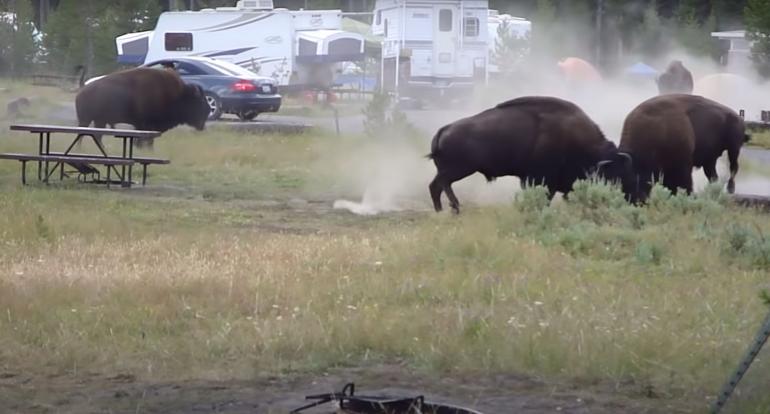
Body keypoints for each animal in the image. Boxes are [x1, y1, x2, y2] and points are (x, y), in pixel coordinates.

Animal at [74, 66, 208, 147]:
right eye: (199, 102)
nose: (208, 110)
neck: (177, 95)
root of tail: (82, 88)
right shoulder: (146, 125)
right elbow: (146, 142)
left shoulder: (142, 127)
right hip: (85, 120)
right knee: (82, 135)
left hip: (99, 121)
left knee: (97, 136)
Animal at [426, 96, 616, 213]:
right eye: (612, 171)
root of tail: (444, 130)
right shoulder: (542, 179)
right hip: (459, 170)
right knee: (441, 184)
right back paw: (455, 208)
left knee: (435, 186)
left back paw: (442, 211)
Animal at [596, 94, 748, 204]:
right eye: (610, 182)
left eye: (631, 178)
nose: (634, 200)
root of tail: (737, 116)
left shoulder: (683, 166)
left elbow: (684, 184)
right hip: (709, 160)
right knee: (713, 176)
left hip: (734, 149)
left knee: (733, 167)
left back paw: (730, 189)